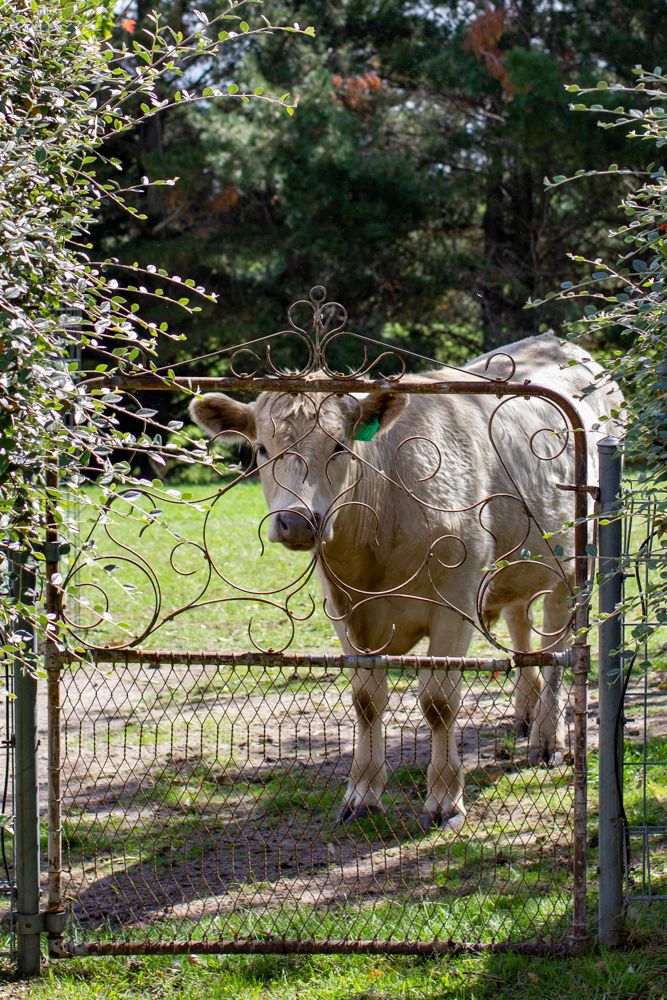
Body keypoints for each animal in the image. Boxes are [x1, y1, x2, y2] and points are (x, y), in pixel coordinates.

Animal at [190, 334, 623, 830]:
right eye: (262, 448)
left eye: (340, 447)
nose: (297, 522)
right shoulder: (342, 609)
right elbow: (366, 699)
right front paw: (361, 794)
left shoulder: (456, 601)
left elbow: (439, 703)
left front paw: (445, 802)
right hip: (519, 565)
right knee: (522, 627)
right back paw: (526, 715)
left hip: (576, 564)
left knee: (557, 645)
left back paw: (549, 741)